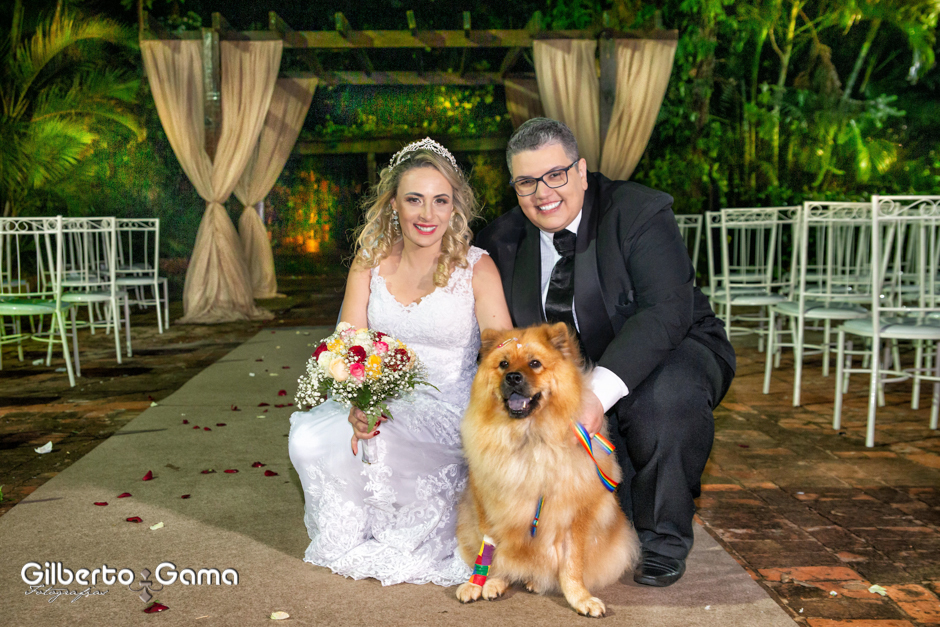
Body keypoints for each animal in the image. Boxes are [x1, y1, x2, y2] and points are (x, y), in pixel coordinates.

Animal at [456, 322, 640, 617]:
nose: (513, 377)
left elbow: (572, 564)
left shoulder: (576, 515)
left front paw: (580, 598)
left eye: (535, 363)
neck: (529, 438)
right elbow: (493, 550)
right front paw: (485, 582)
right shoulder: (490, 503)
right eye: (503, 364)